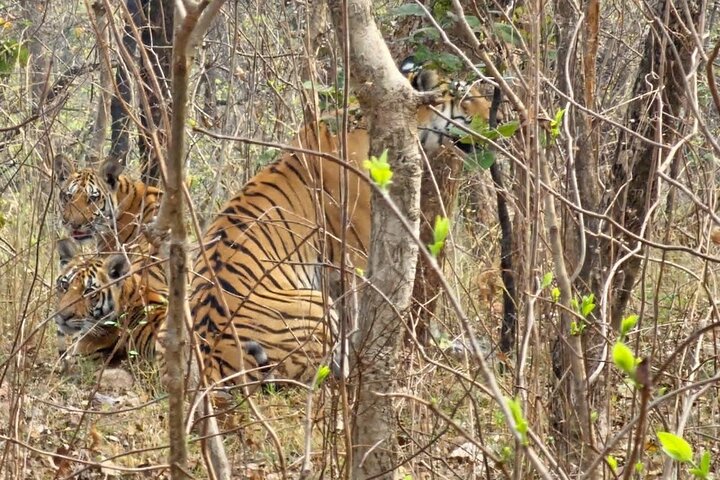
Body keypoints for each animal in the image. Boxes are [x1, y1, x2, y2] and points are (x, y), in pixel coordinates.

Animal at [189, 58, 494, 389]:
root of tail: (210, 357)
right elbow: (360, 318)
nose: (495, 122)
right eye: (467, 98)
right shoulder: (357, 256)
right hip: (313, 305)